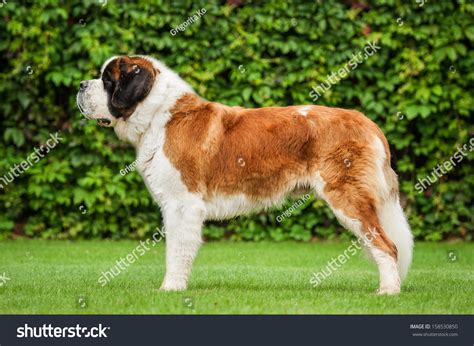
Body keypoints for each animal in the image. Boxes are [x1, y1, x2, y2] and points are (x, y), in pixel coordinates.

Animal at [76, 55, 412, 294]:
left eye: (107, 80)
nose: (80, 85)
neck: (158, 114)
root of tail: (365, 121)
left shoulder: (182, 204)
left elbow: (176, 250)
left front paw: (170, 289)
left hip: (348, 198)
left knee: (387, 246)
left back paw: (388, 292)